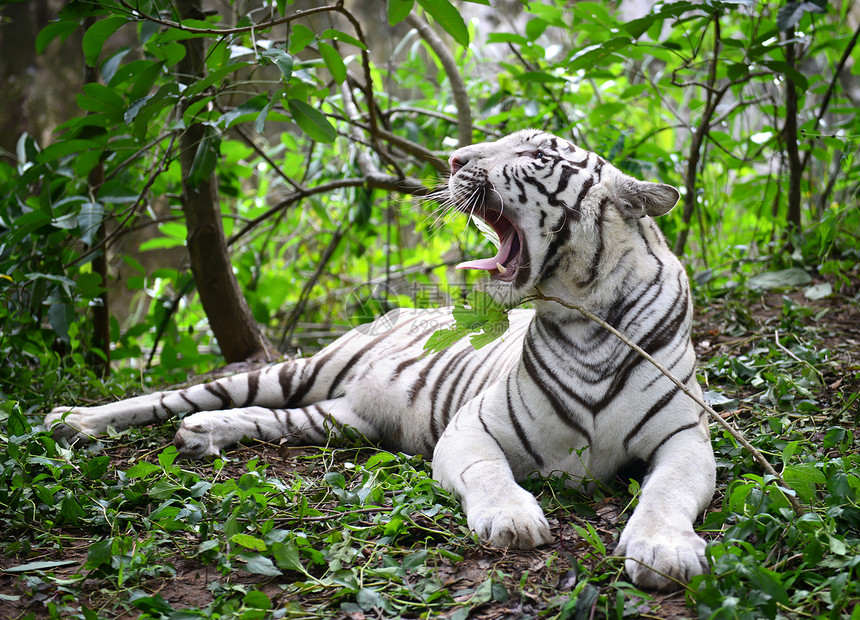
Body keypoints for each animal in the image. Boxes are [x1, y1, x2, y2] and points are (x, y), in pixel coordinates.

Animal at [48, 131, 720, 592]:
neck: (586, 320)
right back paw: (73, 419)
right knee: (183, 395)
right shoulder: (473, 428)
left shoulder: (684, 440)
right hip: (299, 370)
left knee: (265, 418)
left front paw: (663, 551)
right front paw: (512, 520)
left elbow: (667, 492)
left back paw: (201, 435)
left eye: (533, 153)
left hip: (335, 419)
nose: (452, 160)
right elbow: (490, 474)